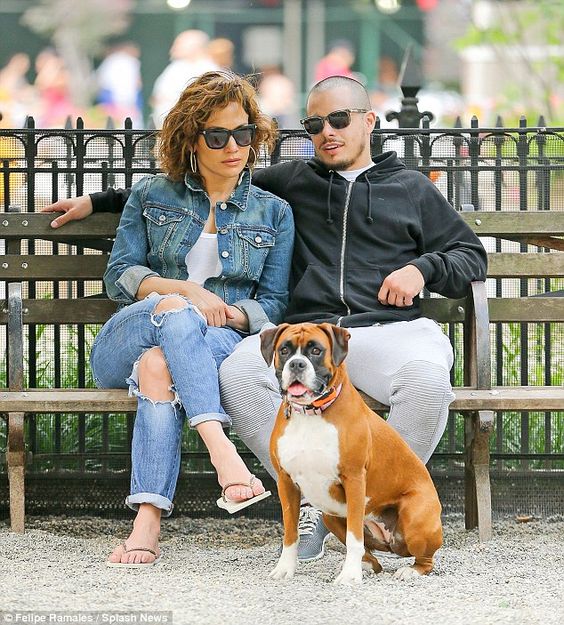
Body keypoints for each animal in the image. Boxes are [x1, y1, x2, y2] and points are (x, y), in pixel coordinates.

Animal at [262, 322, 442, 584]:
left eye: (316, 350)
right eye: (284, 350)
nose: (296, 364)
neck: (310, 414)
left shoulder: (354, 479)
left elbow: (354, 538)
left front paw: (349, 576)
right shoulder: (286, 482)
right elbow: (290, 534)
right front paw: (285, 568)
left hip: (415, 520)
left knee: (426, 559)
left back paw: (409, 570)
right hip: (330, 515)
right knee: (372, 557)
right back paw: (366, 566)